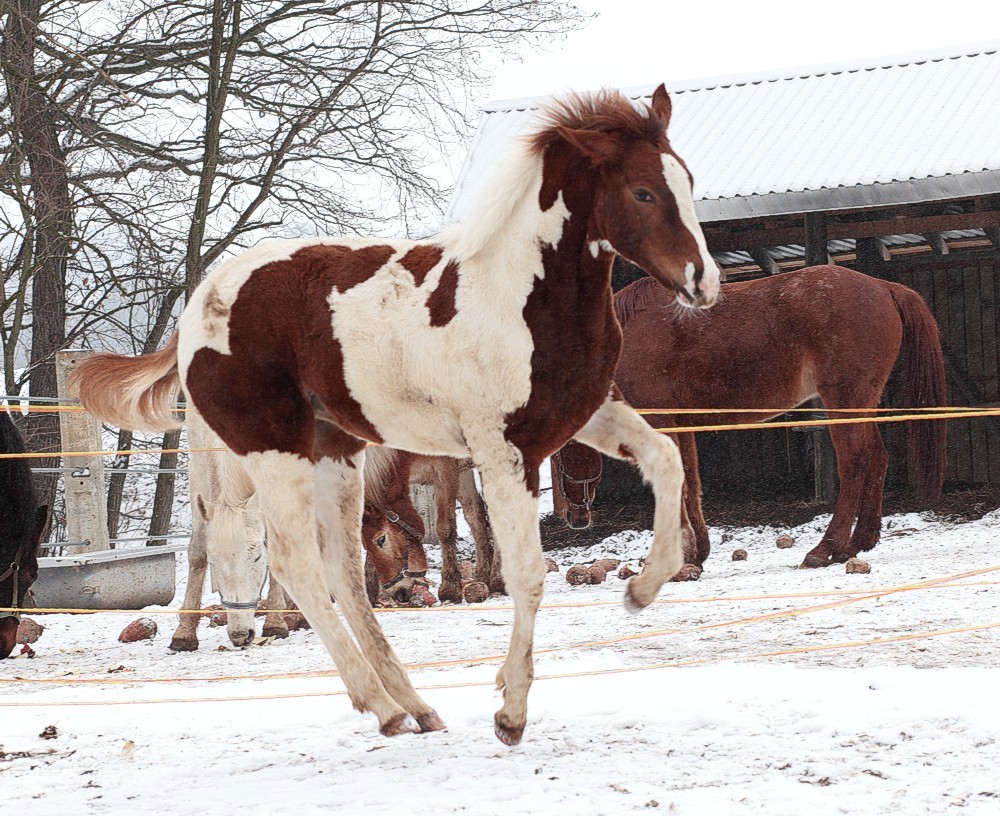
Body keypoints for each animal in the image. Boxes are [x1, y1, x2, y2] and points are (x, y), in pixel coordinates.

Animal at [74, 84, 724, 744]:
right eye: (643, 192)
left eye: (687, 181)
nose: (704, 282)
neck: (520, 296)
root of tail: (200, 301)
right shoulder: (502, 449)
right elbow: (526, 573)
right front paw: (510, 712)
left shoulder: (583, 415)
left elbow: (665, 461)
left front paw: (644, 587)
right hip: (276, 451)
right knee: (297, 562)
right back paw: (381, 705)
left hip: (336, 454)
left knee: (343, 571)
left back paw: (413, 705)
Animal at [552, 264, 948, 572]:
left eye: (557, 457)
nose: (575, 518)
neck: (629, 336)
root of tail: (883, 287)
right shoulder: (682, 422)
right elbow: (691, 482)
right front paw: (696, 553)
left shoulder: (661, 421)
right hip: (860, 405)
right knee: (877, 459)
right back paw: (856, 544)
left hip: (844, 401)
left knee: (856, 463)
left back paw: (825, 549)